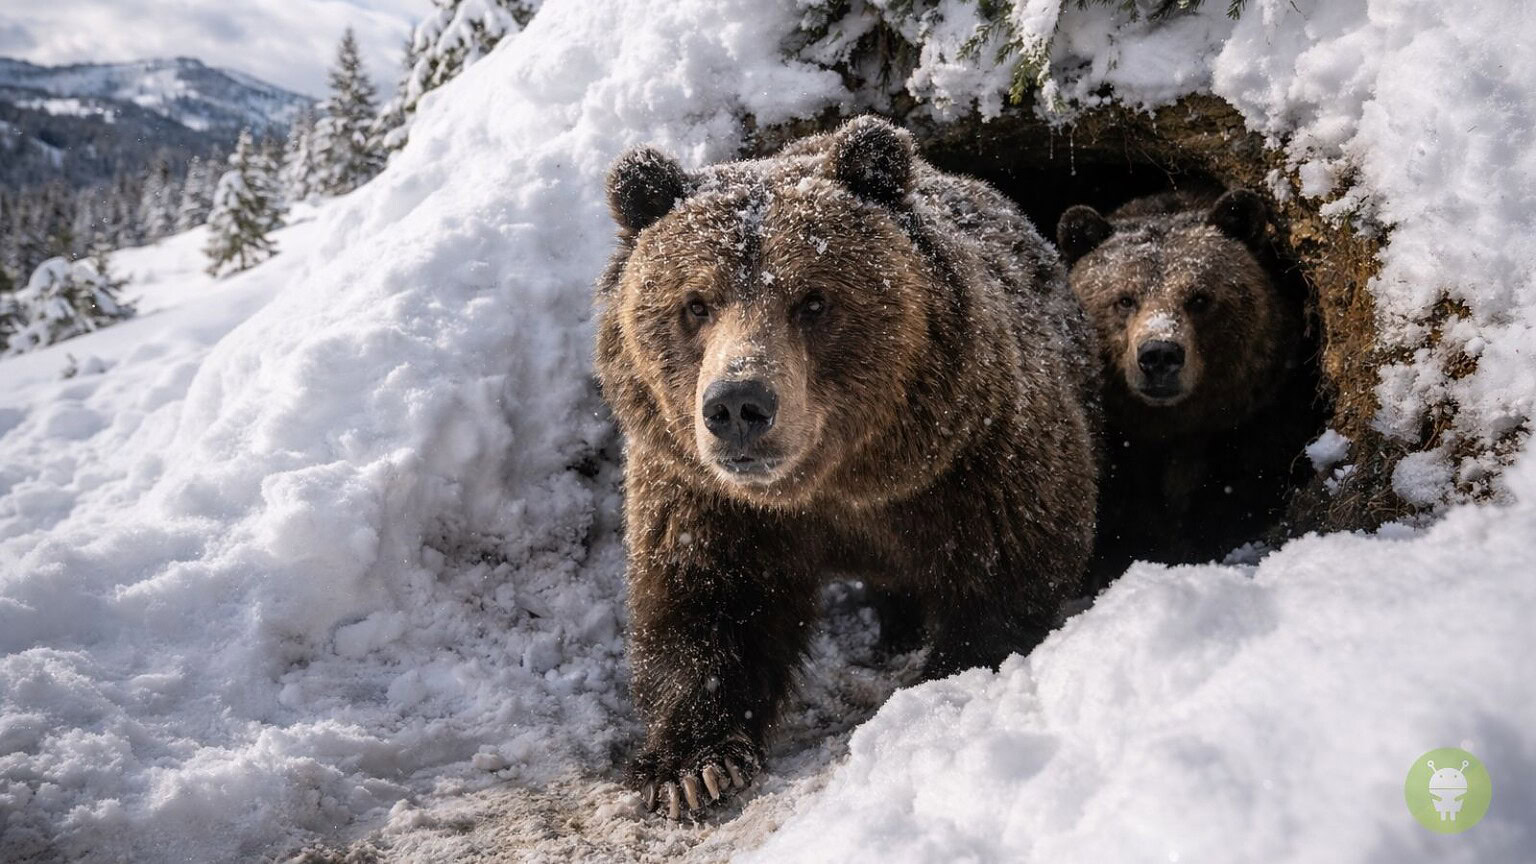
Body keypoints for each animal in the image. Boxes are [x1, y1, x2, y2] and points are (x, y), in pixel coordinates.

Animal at [594, 116, 1100, 819]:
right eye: (695, 304)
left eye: (812, 300)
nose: (738, 404)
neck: (837, 487)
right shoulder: (705, 495)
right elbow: (702, 600)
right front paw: (690, 767)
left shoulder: (975, 457)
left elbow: (1007, 567)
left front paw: (946, 680)